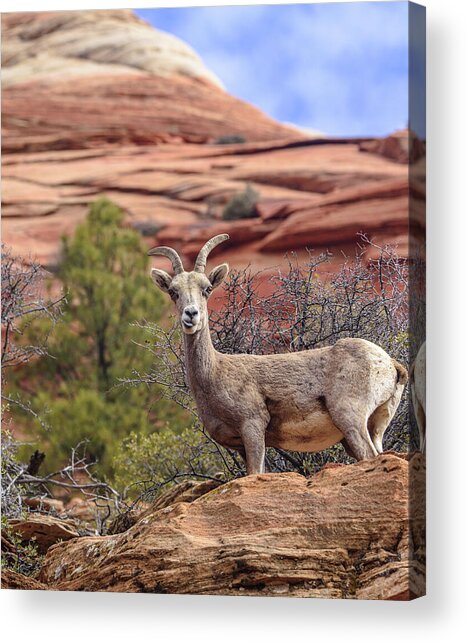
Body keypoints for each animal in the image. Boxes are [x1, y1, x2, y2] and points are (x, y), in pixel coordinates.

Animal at [148, 234, 408, 475]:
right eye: (173, 291)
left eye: (207, 289)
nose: (191, 315)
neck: (214, 373)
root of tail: (389, 364)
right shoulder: (241, 445)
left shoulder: (252, 427)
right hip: (374, 426)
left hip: (351, 419)